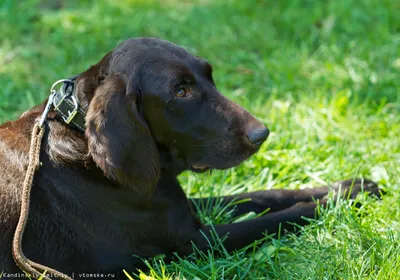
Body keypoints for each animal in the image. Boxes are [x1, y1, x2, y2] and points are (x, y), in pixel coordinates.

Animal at [0, 37, 382, 278]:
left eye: (209, 77)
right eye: (181, 92)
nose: (261, 134)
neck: (80, 140)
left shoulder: (183, 208)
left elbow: (266, 196)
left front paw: (350, 186)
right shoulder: (192, 243)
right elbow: (278, 218)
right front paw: (343, 198)